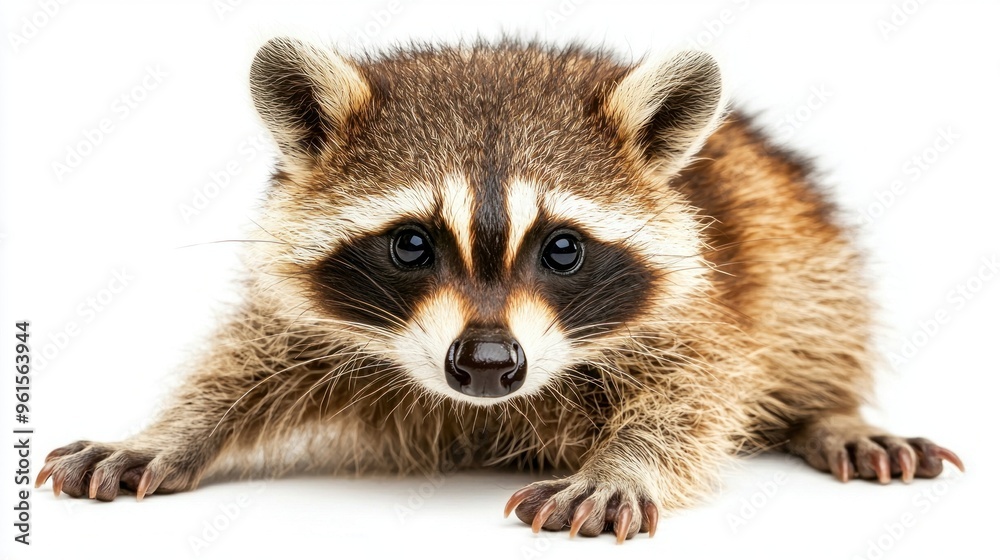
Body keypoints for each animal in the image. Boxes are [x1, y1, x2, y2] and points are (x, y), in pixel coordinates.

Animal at [37, 38, 963, 542]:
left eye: (562, 249)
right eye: (411, 244)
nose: (487, 362)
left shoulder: (701, 303)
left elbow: (695, 392)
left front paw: (624, 463)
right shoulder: (305, 313)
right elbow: (246, 360)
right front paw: (171, 430)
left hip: (798, 238)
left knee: (814, 319)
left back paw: (830, 409)